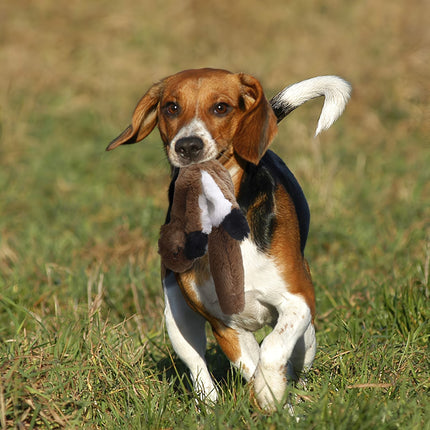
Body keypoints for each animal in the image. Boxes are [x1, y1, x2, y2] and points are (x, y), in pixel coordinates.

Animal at [106, 69, 352, 412]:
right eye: (171, 107)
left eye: (221, 107)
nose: (188, 145)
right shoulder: (226, 326)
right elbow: (252, 363)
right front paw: (271, 397)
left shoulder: (298, 301)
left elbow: (273, 349)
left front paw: (275, 396)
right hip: (176, 317)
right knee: (198, 367)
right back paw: (210, 406)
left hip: (307, 335)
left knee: (296, 357)